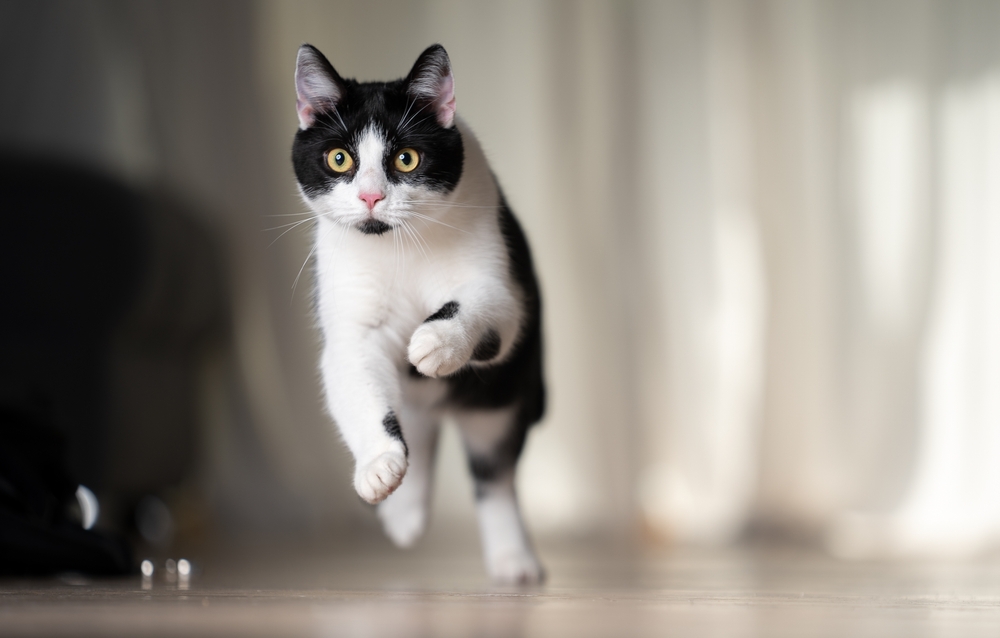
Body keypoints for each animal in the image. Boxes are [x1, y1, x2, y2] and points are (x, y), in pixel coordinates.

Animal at [292, 43, 548, 584]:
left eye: (405, 159)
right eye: (339, 158)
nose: (371, 195)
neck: (398, 248)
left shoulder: (501, 285)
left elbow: (484, 304)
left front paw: (438, 341)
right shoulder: (352, 325)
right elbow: (358, 382)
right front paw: (379, 466)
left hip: (499, 399)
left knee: (494, 473)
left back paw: (512, 558)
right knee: (417, 420)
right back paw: (404, 512)